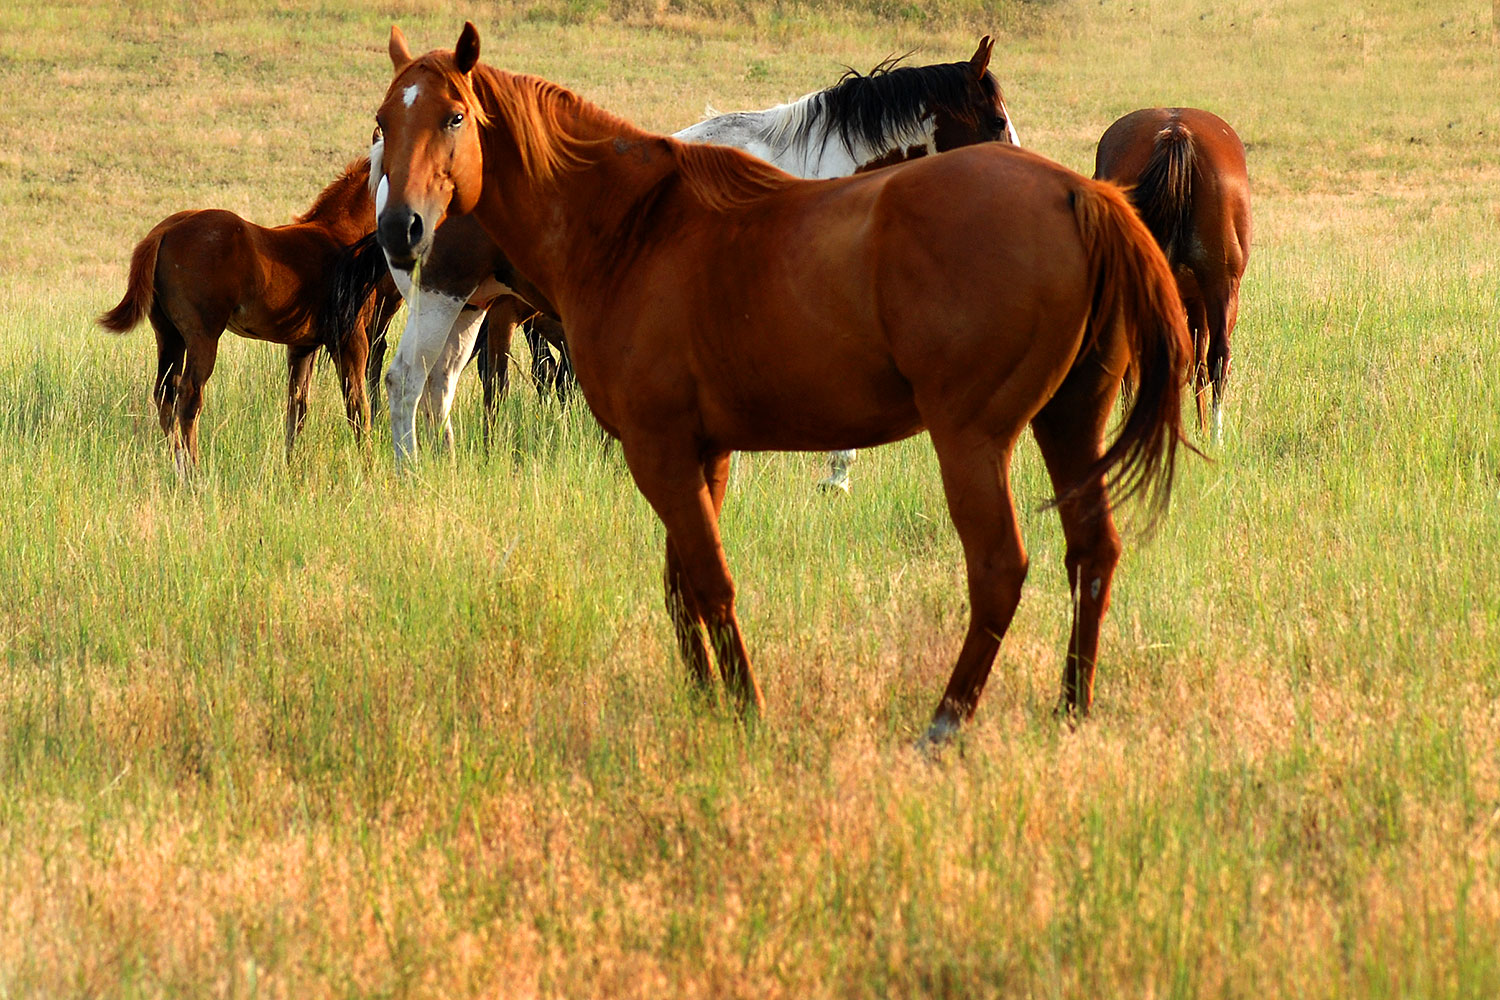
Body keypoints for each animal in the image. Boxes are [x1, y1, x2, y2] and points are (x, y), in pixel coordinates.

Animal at [98, 158, 402, 467]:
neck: (340, 237)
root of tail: (165, 230)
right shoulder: (351, 339)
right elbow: (357, 406)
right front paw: (368, 464)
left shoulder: (302, 346)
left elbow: (297, 407)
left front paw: (291, 465)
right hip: (202, 336)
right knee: (189, 397)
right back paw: (193, 470)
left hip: (169, 334)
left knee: (165, 394)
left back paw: (177, 465)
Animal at [366, 36, 1016, 476]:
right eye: (996, 120)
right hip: (439, 296)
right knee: (406, 380)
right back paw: (411, 473)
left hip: (471, 304)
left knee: (440, 384)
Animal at [1093, 108, 1251, 443]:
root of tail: (1176, 129)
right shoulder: (1198, 297)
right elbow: (1199, 364)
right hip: (1221, 283)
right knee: (1218, 357)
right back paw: (1215, 437)